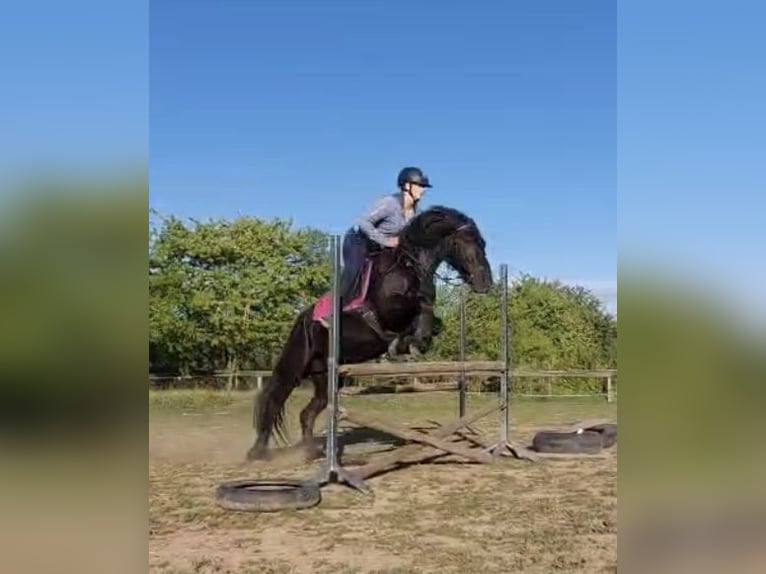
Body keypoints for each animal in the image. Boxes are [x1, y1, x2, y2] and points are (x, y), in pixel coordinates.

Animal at [246, 205, 494, 461]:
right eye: (466, 243)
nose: (486, 283)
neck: (408, 267)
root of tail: (302, 319)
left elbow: (431, 323)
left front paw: (409, 344)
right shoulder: (390, 308)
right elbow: (422, 304)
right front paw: (403, 344)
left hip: (325, 374)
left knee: (309, 412)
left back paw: (310, 451)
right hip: (296, 364)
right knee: (275, 399)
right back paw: (258, 452)